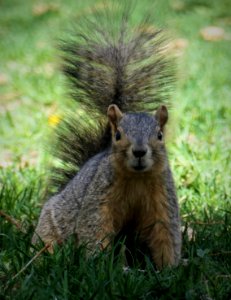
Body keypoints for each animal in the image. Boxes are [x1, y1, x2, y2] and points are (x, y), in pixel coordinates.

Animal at [32, 6, 181, 270]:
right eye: (118, 135)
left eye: (160, 135)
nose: (139, 152)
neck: (136, 179)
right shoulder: (98, 200)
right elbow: (94, 228)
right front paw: (100, 266)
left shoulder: (163, 199)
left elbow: (165, 232)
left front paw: (170, 270)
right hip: (49, 226)